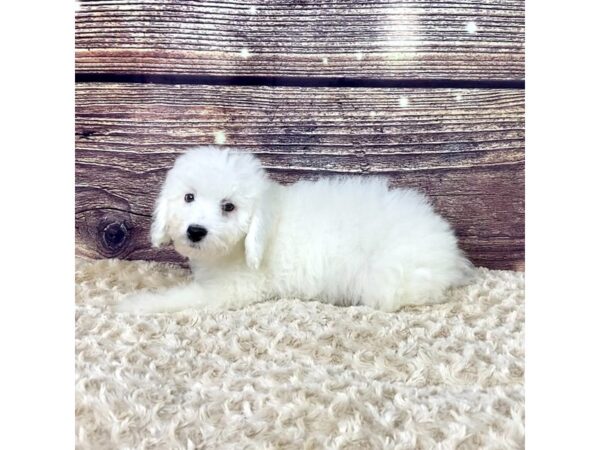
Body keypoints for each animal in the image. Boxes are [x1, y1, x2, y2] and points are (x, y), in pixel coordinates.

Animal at [117, 147, 474, 312]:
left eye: (228, 207)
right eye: (188, 197)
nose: (195, 231)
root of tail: (449, 248)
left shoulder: (234, 289)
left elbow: (182, 298)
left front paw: (138, 304)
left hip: (389, 279)